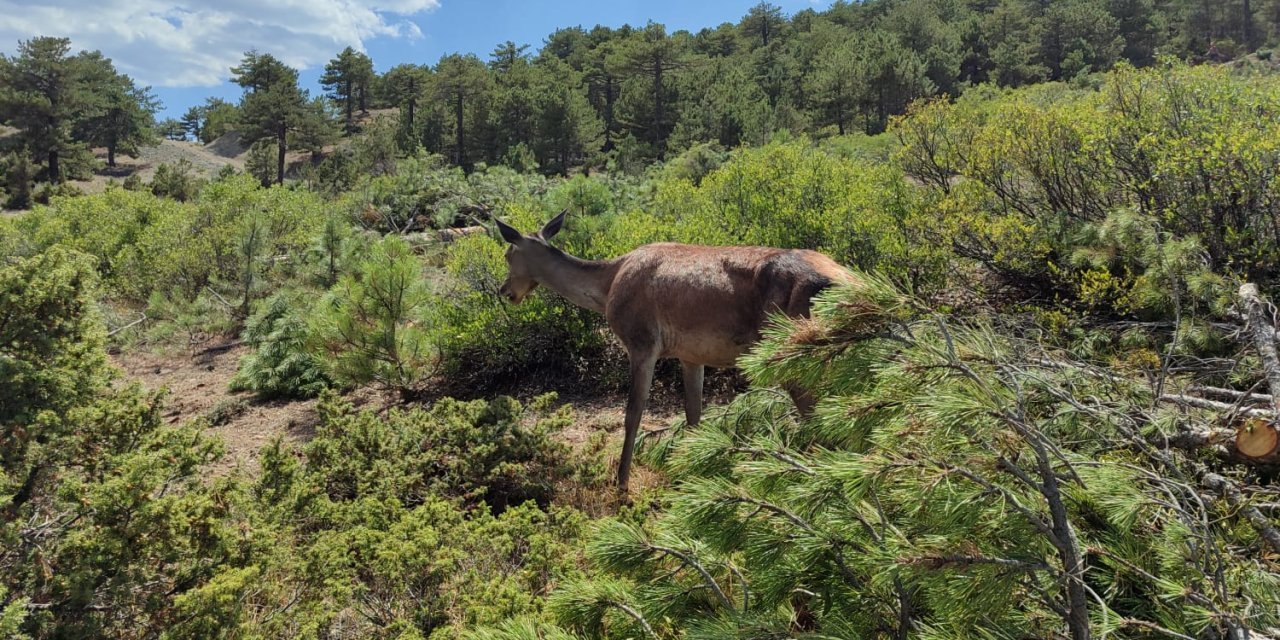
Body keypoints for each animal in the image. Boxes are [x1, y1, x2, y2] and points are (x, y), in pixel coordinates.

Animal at [494, 209, 855, 488]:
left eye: (508, 255)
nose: (504, 291)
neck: (607, 285)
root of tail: (847, 282)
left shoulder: (641, 341)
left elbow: (633, 413)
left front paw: (621, 482)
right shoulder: (691, 354)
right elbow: (694, 416)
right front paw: (694, 472)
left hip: (792, 349)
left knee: (818, 416)